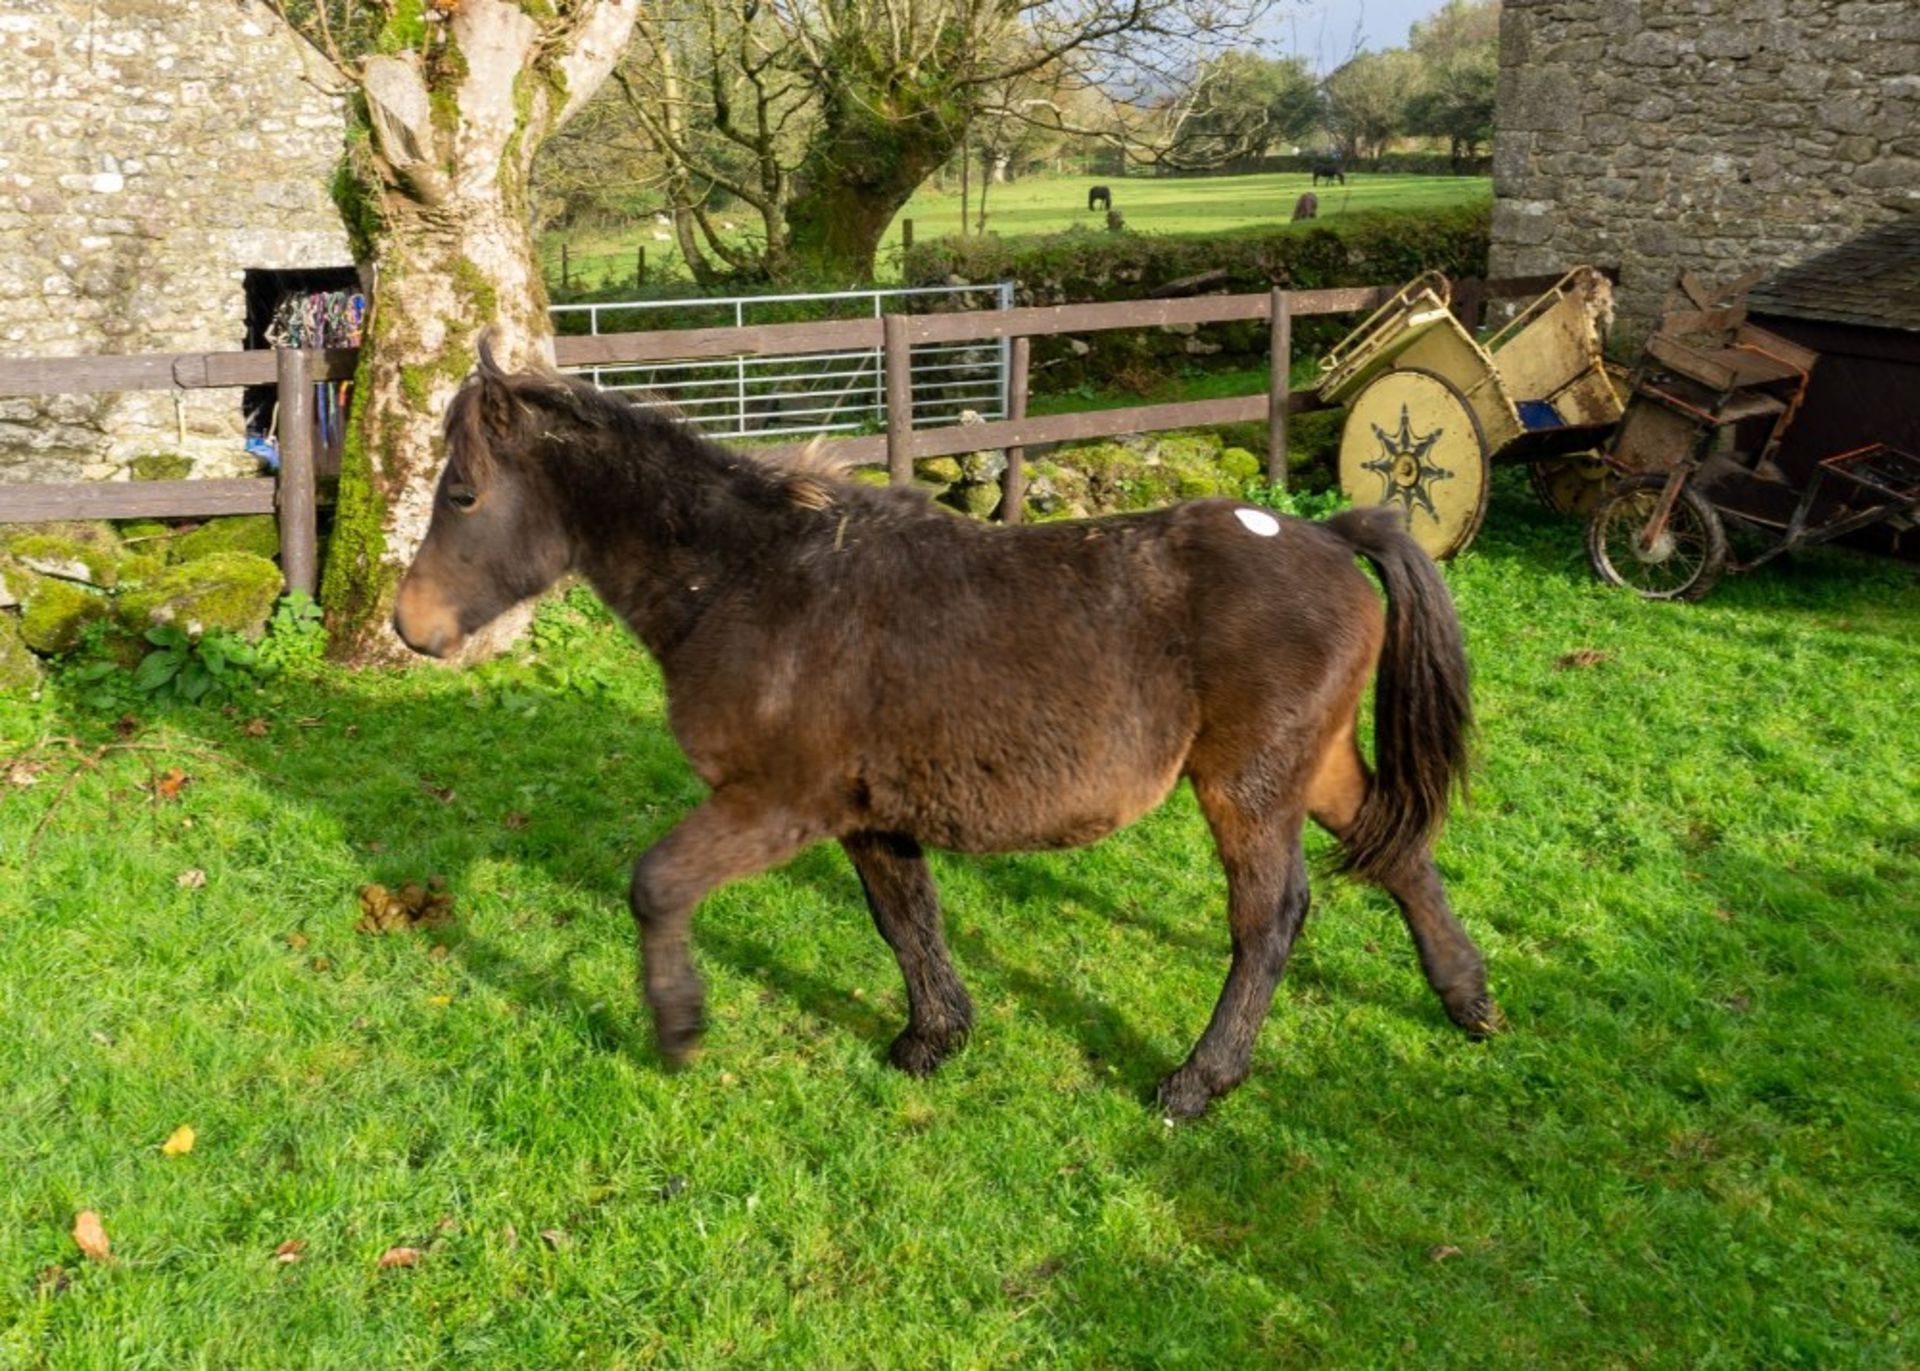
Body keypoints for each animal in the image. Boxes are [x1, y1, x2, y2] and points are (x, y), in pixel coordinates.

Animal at [393, 341, 1497, 1113]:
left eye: (463, 492)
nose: (412, 627)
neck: (755, 583)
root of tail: (1329, 533)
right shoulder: (868, 812)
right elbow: (907, 919)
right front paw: (934, 1038)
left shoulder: (776, 803)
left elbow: (657, 884)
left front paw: (677, 1028)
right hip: (1310, 767)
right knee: (1397, 847)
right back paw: (1468, 998)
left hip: (1248, 787)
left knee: (1270, 920)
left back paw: (1198, 1080)